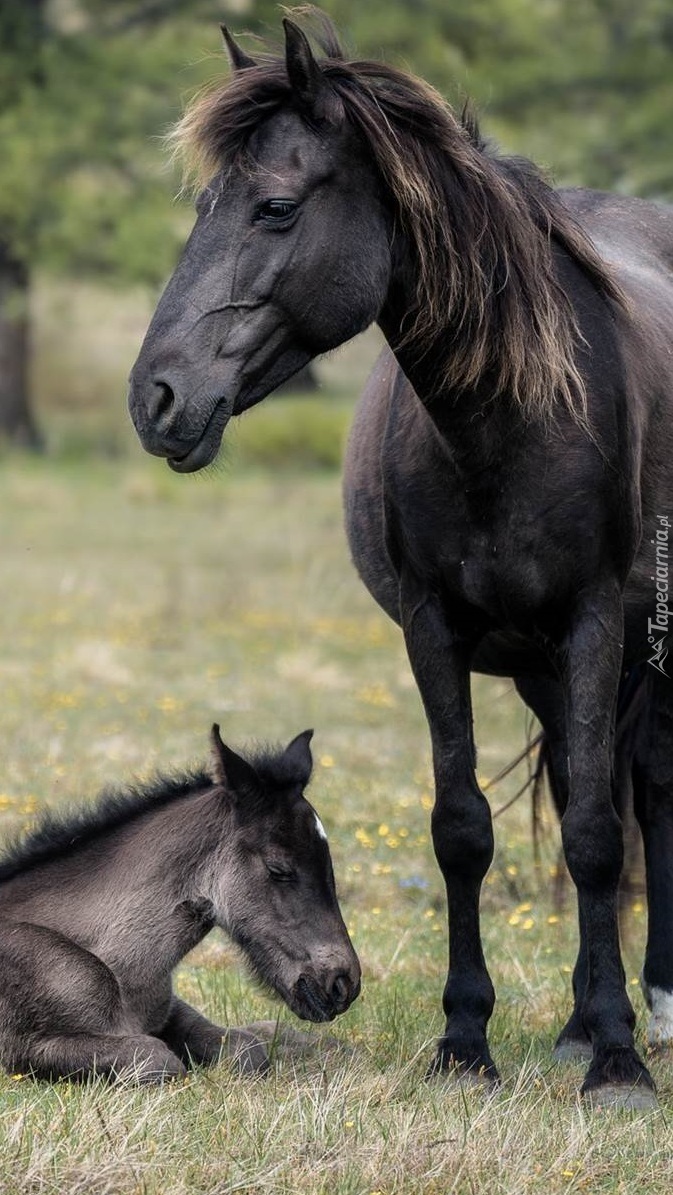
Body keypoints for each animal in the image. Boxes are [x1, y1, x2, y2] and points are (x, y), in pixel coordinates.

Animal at [0, 726, 361, 1085]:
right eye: (279, 870)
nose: (343, 983)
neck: (125, 975)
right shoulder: (24, 1048)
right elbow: (161, 1060)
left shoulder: (171, 1010)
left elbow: (246, 1049)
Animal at [129, 11, 673, 1108]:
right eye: (204, 205)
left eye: (276, 206)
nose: (154, 397)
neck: (513, 418)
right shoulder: (435, 628)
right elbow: (464, 827)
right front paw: (467, 1042)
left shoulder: (595, 618)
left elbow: (598, 838)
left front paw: (619, 1061)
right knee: (581, 786)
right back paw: (574, 1020)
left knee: (647, 797)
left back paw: (651, 1007)